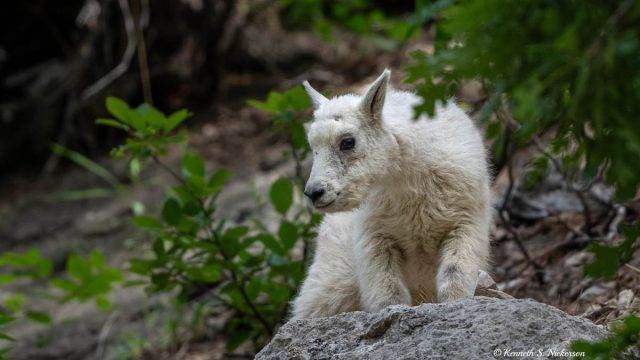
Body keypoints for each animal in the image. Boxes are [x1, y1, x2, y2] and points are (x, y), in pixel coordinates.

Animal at [292, 69, 492, 320]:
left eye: (348, 142)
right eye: (313, 147)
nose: (314, 193)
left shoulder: (464, 223)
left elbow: (454, 277)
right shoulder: (376, 237)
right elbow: (388, 293)